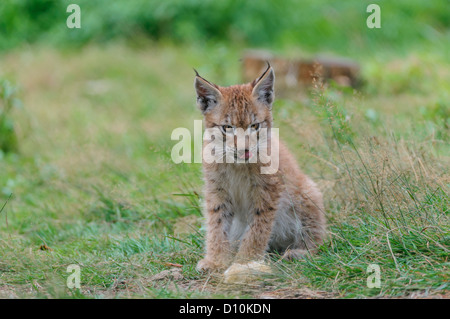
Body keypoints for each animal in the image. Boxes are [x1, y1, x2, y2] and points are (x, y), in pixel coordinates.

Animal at [195, 64, 326, 272]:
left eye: (255, 126)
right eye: (227, 128)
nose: (244, 149)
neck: (237, 165)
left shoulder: (268, 191)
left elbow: (257, 229)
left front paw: (245, 261)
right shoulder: (217, 190)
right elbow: (216, 224)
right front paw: (216, 260)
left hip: (307, 191)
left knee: (318, 241)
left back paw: (299, 253)